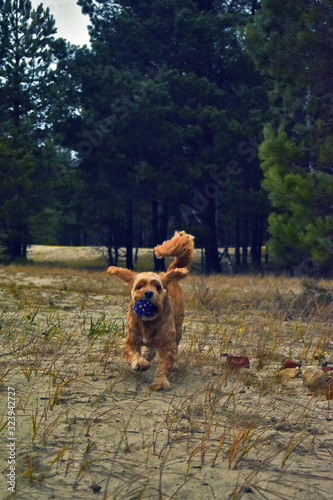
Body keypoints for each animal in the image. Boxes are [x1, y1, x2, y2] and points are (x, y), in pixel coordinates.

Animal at [107, 230, 193, 390]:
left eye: (157, 287)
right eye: (139, 286)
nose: (148, 293)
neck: (148, 323)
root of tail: (167, 273)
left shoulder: (167, 343)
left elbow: (165, 364)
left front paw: (160, 382)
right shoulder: (131, 340)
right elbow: (132, 353)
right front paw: (140, 363)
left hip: (178, 329)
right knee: (150, 349)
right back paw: (146, 355)